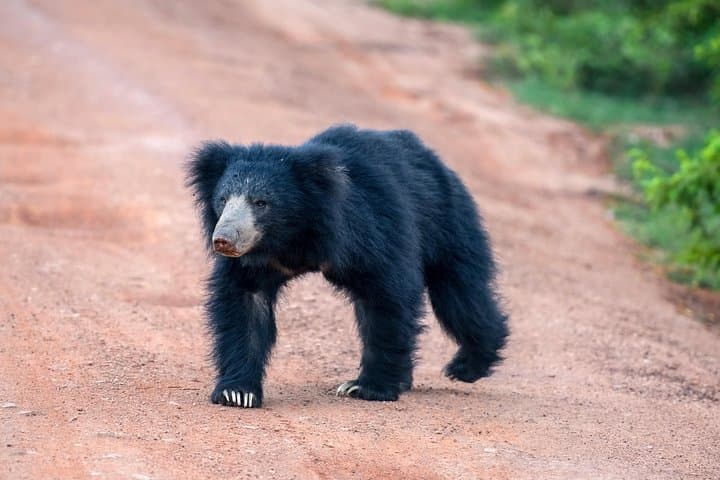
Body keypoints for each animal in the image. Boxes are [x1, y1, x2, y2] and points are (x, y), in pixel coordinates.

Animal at [186, 124, 508, 408]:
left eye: (261, 202)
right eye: (223, 200)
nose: (223, 240)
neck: (293, 237)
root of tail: (434, 159)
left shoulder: (371, 230)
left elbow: (387, 297)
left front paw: (366, 388)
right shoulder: (255, 261)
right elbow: (245, 305)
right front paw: (237, 393)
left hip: (447, 222)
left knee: (459, 296)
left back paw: (466, 366)